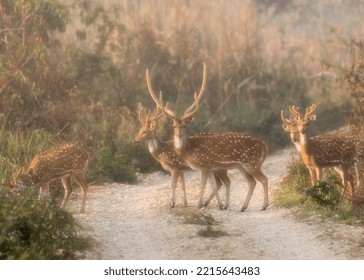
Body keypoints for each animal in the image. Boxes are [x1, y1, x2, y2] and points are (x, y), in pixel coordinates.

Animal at [146, 63, 268, 212]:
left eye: (185, 125)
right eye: (174, 126)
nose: (179, 134)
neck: (187, 151)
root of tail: (265, 146)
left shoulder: (203, 165)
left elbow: (202, 186)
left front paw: (199, 205)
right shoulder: (210, 168)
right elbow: (213, 186)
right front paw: (217, 205)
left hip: (251, 163)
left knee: (263, 179)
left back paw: (264, 205)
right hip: (242, 166)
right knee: (252, 182)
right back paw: (243, 207)